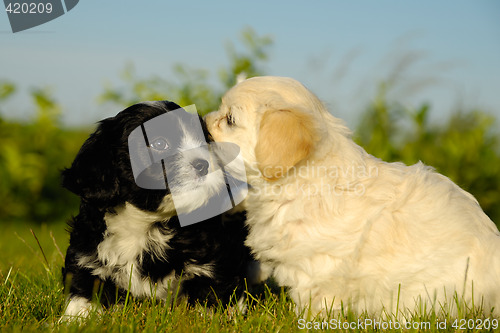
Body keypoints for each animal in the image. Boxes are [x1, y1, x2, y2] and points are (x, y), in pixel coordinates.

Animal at [60, 101, 252, 320]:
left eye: (204, 142)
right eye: (159, 144)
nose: (204, 164)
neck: (145, 225)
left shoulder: (215, 257)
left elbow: (214, 291)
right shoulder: (86, 254)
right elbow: (82, 291)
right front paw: (74, 319)